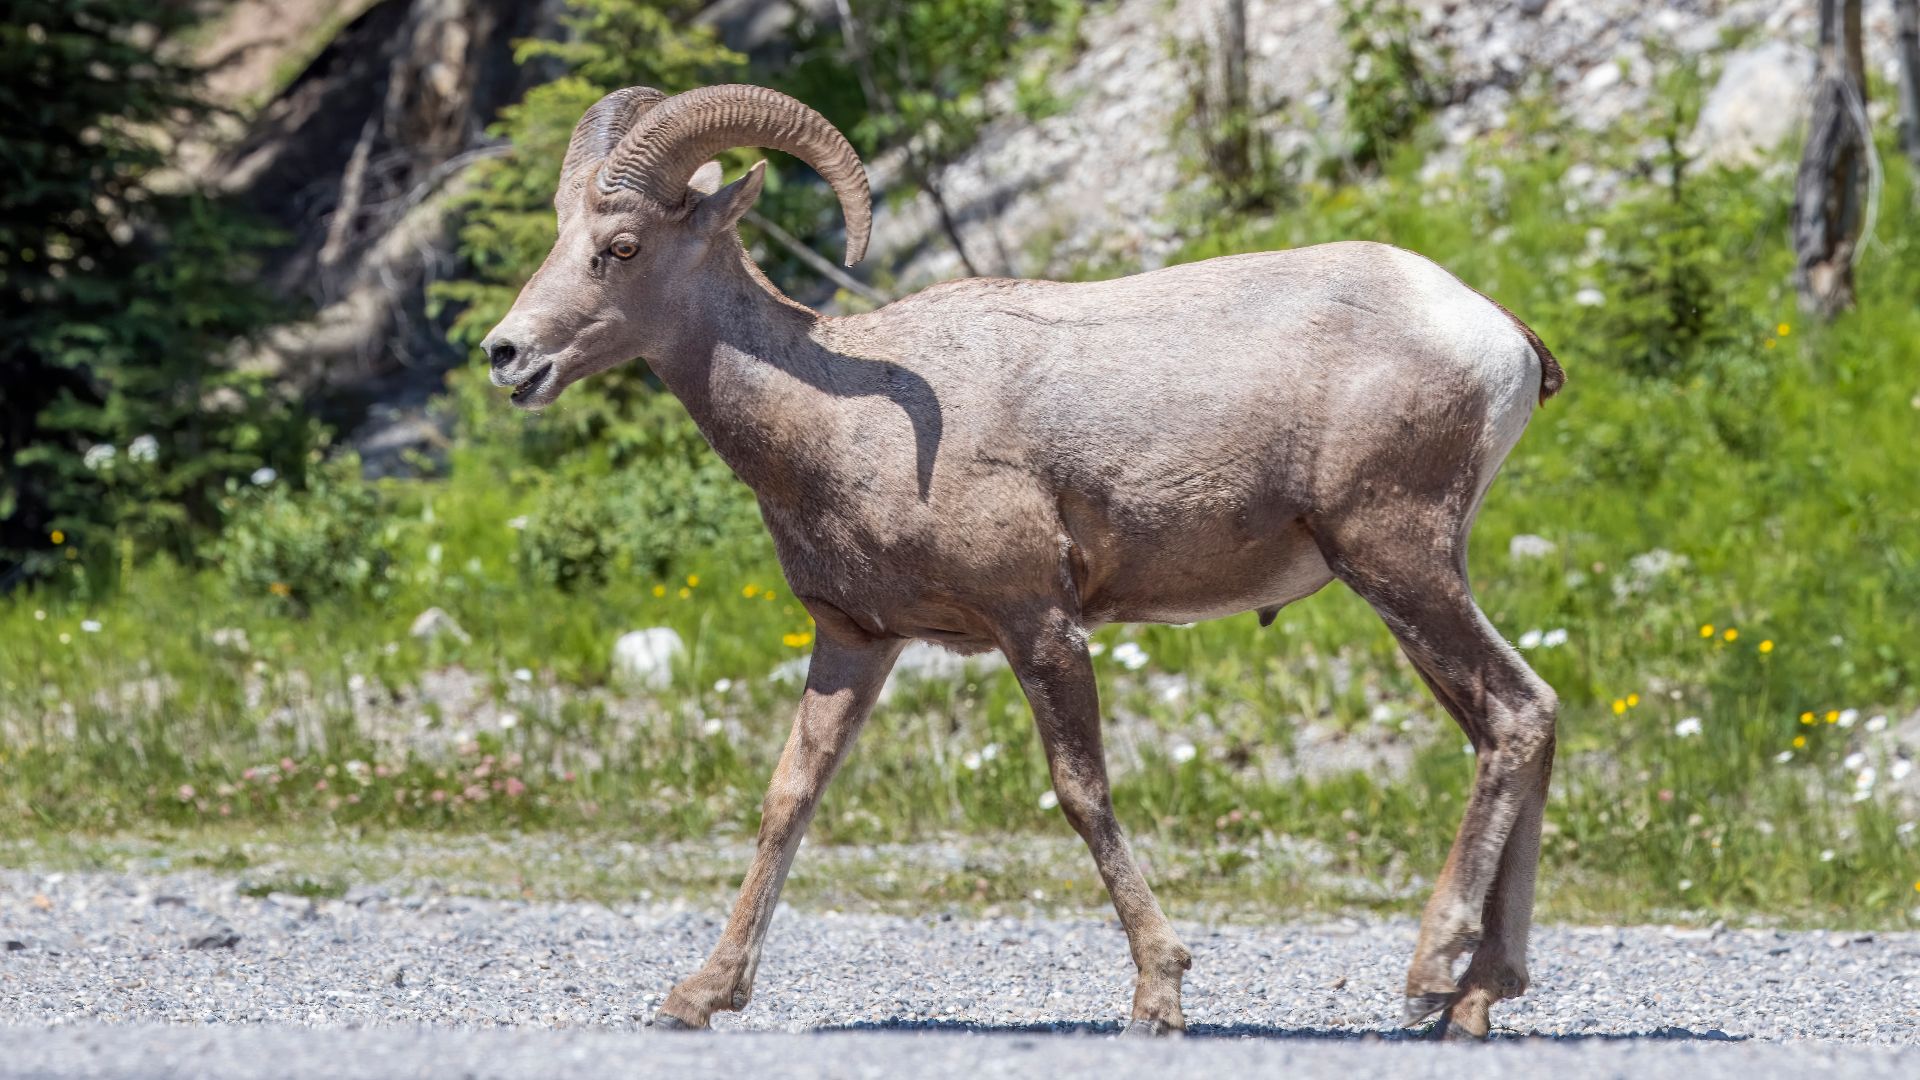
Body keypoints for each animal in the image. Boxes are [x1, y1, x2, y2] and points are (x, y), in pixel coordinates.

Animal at [480, 83, 1565, 1040]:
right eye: (559, 236)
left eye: (621, 247)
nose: (506, 356)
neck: (841, 417)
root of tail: (1500, 336)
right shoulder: (856, 641)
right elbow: (790, 797)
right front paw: (698, 997)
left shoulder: (1038, 624)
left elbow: (1083, 794)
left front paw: (1158, 998)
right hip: (1405, 584)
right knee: (1515, 722)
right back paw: (1477, 1000)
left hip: (1396, 560)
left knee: (1517, 713)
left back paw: (1429, 977)